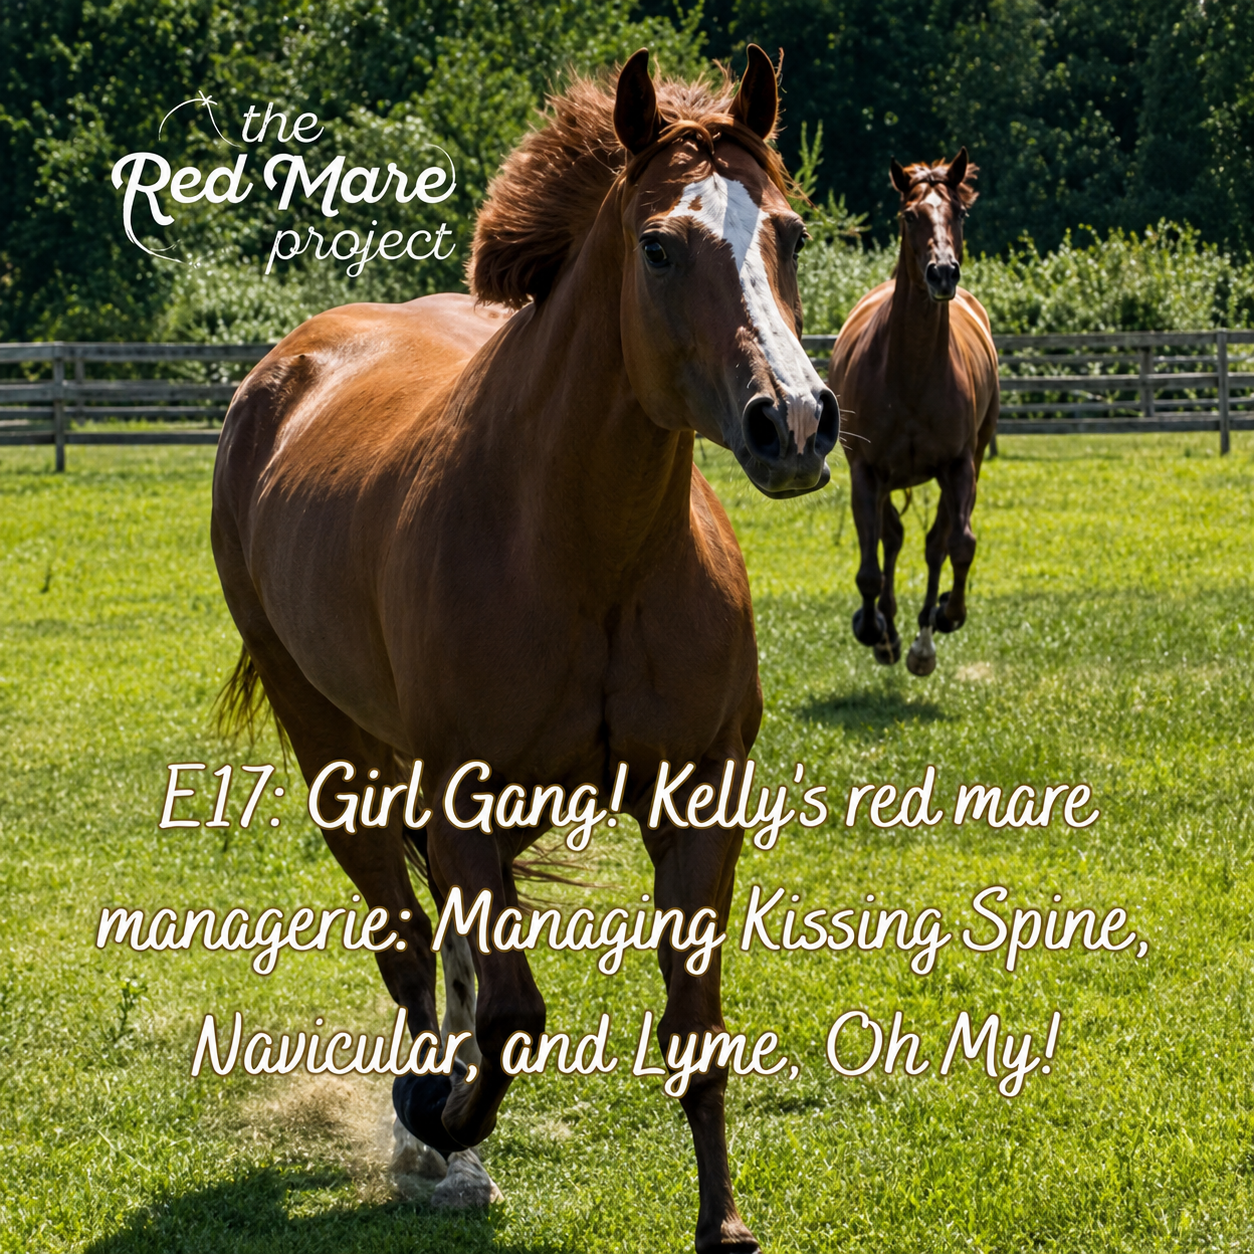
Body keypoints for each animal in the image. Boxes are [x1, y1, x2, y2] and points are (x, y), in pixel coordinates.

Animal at [211, 46, 837, 1253]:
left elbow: (693, 1022)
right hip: (335, 754)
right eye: (659, 246)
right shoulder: (460, 796)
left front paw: (723, 1224)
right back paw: (431, 1141)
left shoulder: (698, 800)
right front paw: (437, 1117)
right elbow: (509, 1012)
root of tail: (287, 370)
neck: (589, 556)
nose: (793, 419)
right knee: (410, 943)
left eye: (787, 233)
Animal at [827, 149, 999, 676]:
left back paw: (924, 635)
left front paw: (946, 616)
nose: (942, 273)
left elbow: (958, 545)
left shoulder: (959, 466)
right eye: (909, 216)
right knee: (892, 538)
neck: (912, 372)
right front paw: (875, 630)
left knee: (934, 541)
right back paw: (888, 629)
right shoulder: (867, 471)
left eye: (959, 213)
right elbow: (870, 565)